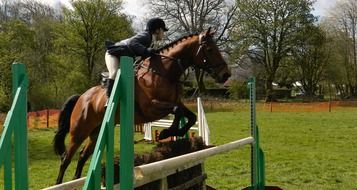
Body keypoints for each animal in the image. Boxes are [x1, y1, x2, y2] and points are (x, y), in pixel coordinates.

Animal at [52, 27, 231, 185]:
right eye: (209, 49)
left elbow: (190, 116)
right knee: (66, 158)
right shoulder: (151, 108)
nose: (226, 75)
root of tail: (82, 97)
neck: (163, 72)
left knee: (82, 156)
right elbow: (177, 110)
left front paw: (175, 132)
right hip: (79, 131)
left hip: (96, 132)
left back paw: (74, 180)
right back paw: (59, 182)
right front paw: (166, 132)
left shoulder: (175, 102)